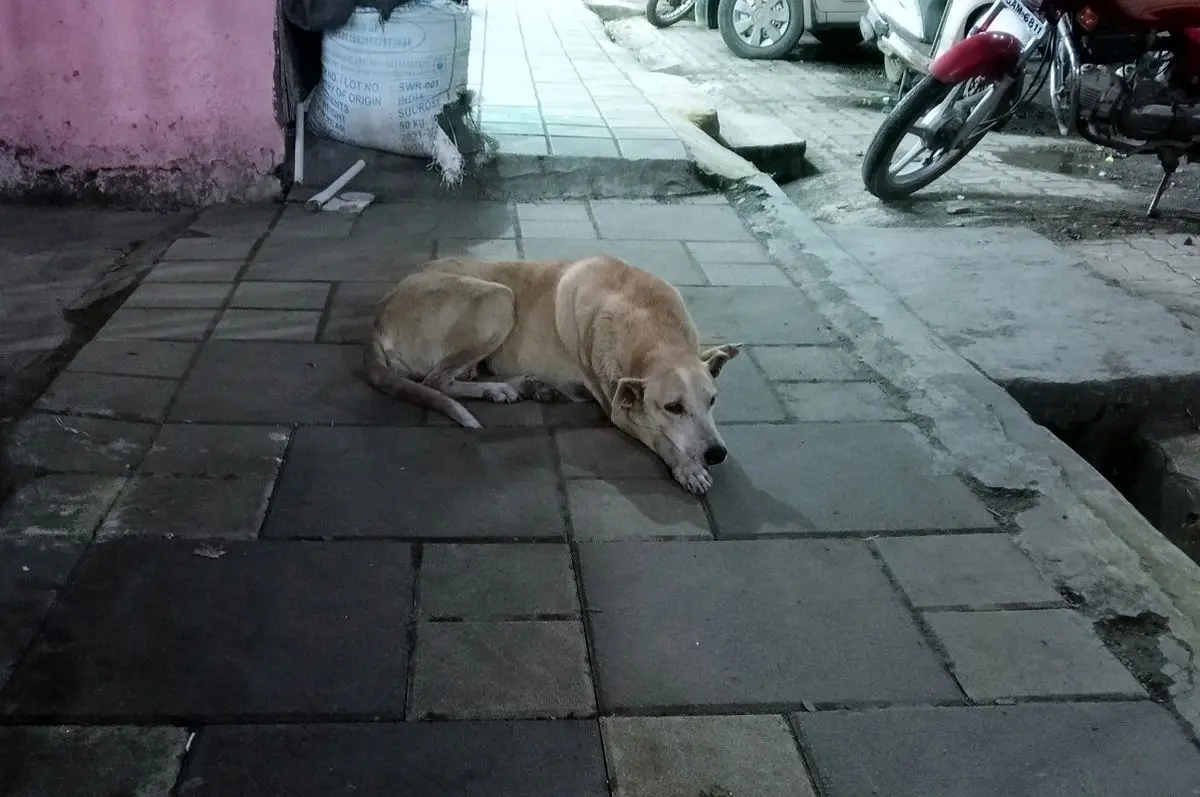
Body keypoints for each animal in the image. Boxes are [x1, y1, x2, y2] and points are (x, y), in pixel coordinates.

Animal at [364, 255, 739, 492]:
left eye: (713, 401)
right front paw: (688, 468)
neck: (651, 324)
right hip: (499, 300)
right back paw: (502, 389)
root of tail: (378, 316)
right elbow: (661, 437)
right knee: (437, 380)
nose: (717, 454)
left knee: (458, 375)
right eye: (673, 407)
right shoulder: (618, 409)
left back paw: (525, 385)